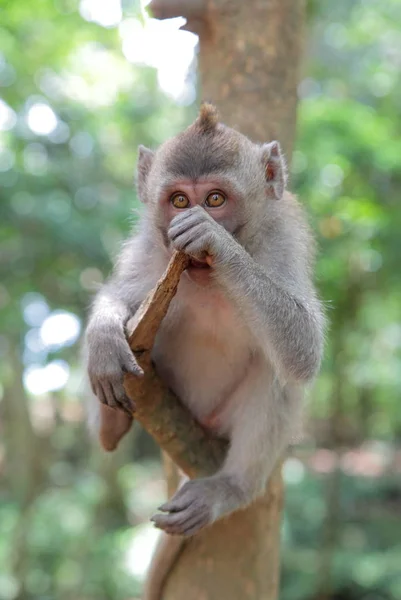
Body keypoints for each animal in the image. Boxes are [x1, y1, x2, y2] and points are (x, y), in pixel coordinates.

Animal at [83, 102, 322, 592]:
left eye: (214, 200)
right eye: (178, 201)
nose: (189, 220)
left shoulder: (282, 241)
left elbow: (304, 351)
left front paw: (216, 240)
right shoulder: (151, 246)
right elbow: (119, 294)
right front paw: (103, 336)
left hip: (225, 421)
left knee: (276, 373)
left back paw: (231, 486)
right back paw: (110, 425)